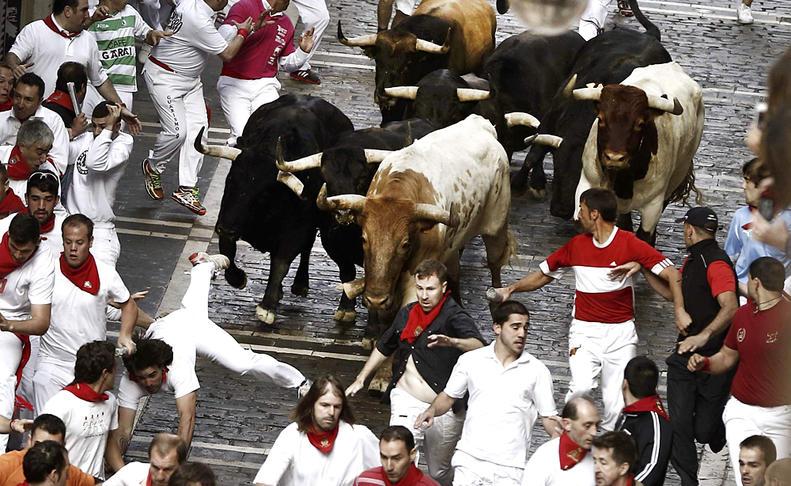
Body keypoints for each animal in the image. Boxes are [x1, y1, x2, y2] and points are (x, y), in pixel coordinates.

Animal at [320, 115, 512, 316]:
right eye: (364, 239)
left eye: (405, 244)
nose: (376, 299)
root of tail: (479, 121)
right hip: (452, 245)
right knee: (454, 272)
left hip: (496, 225)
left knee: (495, 264)